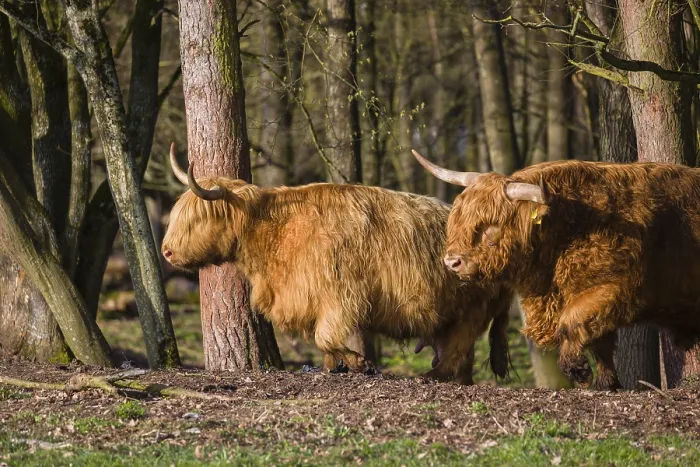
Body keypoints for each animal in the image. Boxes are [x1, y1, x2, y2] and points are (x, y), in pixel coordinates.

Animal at [161, 143, 514, 384]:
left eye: (197, 219)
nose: (166, 252)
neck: (273, 233)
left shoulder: (339, 296)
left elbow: (325, 336)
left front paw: (360, 364)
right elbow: (324, 342)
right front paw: (335, 367)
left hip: (472, 310)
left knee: (457, 351)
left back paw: (430, 377)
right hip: (453, 314)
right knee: (461, 357)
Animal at [415, 149, 700, 390]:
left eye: (490, 225)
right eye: (459, 218)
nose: (452, 262)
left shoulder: (619, 289)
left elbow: (572, 319)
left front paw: (578, 369)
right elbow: (600, 341)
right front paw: (606, 383)